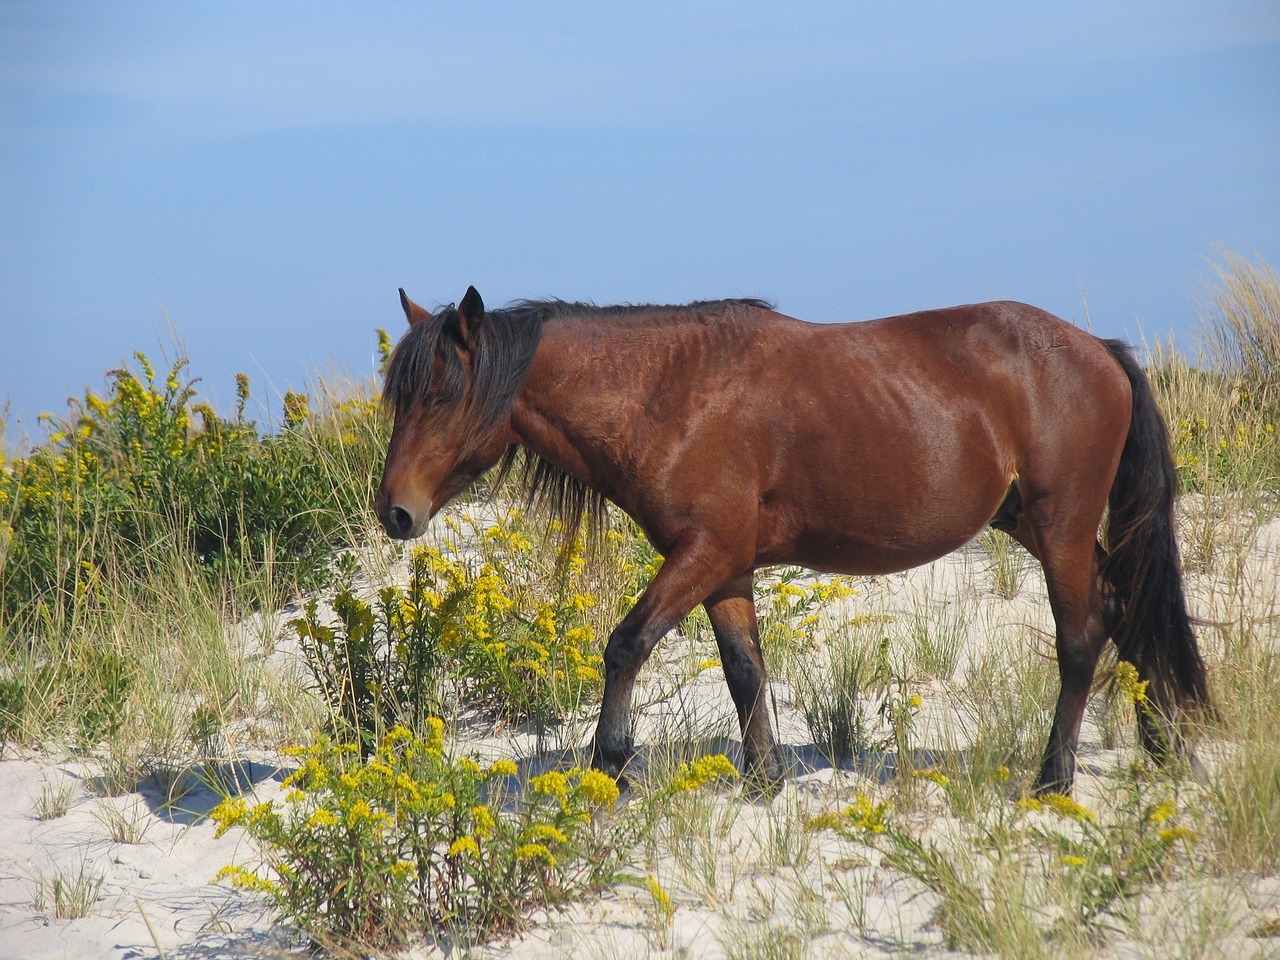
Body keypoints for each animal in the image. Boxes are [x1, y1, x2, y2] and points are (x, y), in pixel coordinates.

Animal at [376, 285, 1208, 798]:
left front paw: (607, 765)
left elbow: (626, 644)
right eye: (397, 396)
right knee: (1123, 610)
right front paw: (763, 780)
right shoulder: (725, 567)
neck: (671, 394)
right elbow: (745, 670)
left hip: (1061, 523)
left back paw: (1053, 779)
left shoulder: (703, 553)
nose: (395, 513)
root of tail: (1097, 350)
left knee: (1081, 637)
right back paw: (1163, 749)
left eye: (442, 394)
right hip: (1034, 524)